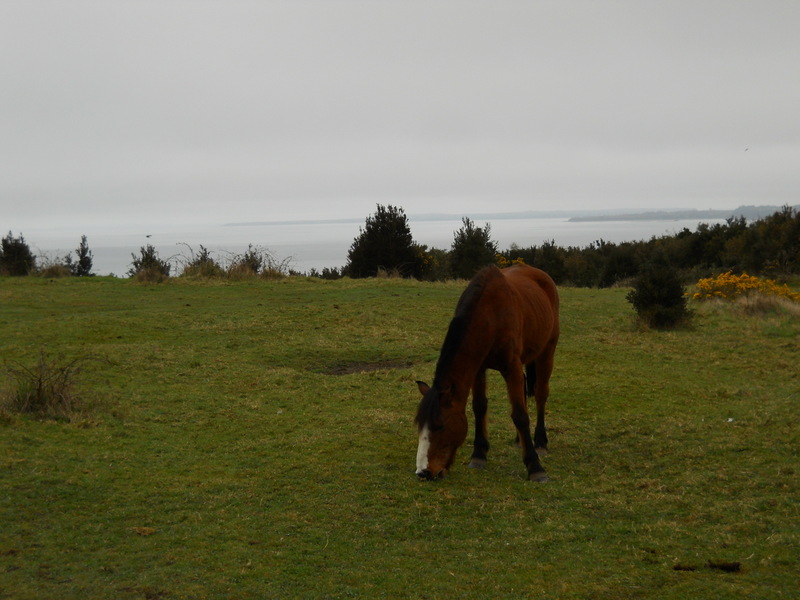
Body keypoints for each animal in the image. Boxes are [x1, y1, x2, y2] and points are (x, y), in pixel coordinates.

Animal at [416, 264, 560, 480]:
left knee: (541, 393)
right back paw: (519, 440)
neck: (491, 315)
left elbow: (520, 415)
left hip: (547, 350)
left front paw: (535, 466)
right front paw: (479, 455)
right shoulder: (478, 368)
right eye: (419, 426)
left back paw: (541, 442)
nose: (424, 472)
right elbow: (479, 407)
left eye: (440, 425)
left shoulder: (512, 367)